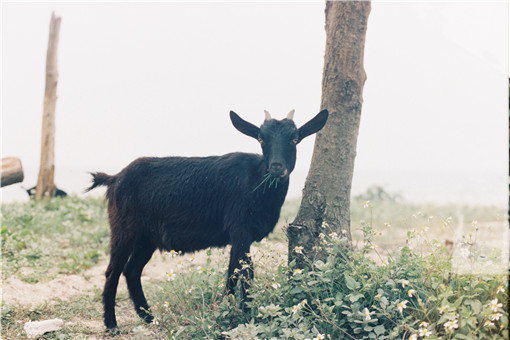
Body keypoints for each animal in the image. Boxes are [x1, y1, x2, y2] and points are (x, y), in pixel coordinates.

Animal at [86, 109, 328, 332]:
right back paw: (112, 325)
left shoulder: (239, 235)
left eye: (294, 138)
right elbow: (244, 272)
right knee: (113, 271)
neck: (257, 181)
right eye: (261, 138)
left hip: (147, 238)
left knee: (132, 270)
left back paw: (149, 317)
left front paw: (231, 311)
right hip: (124, 229)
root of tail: (115, 178)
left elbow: (234, 271)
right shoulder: (240, 228)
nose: (277, 167)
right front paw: (243, 315)